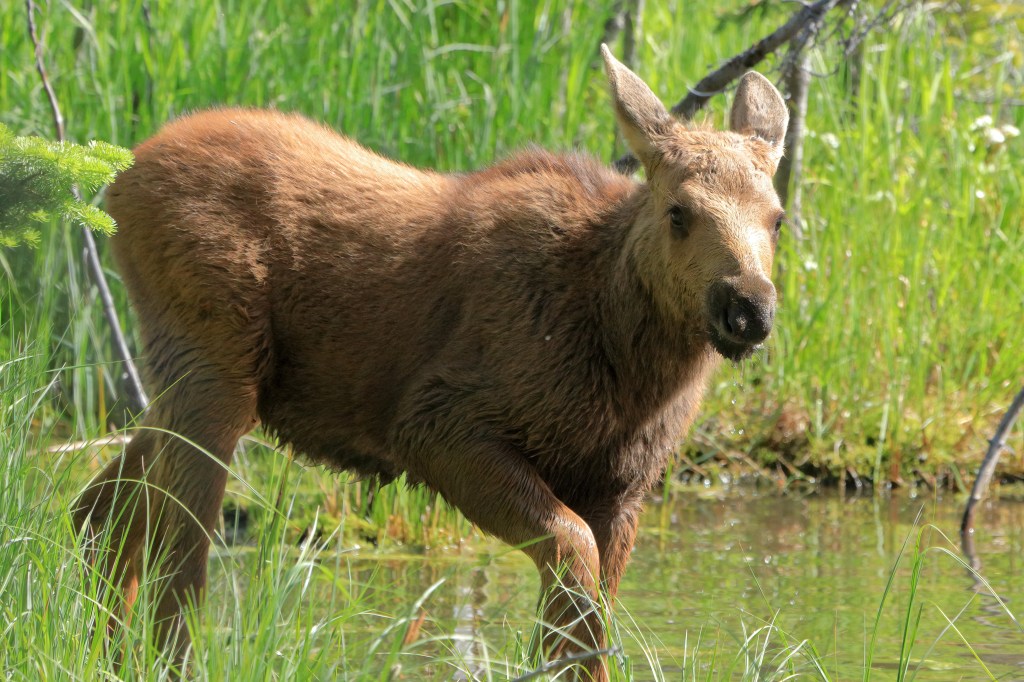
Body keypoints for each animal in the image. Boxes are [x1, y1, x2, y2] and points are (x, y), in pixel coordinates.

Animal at [76, 46, 788, 681]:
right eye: (679, 212)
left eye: (778, 218)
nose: (747, 308)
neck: (632, 367)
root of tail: (124, 173)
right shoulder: (435, 424)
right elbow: (572, 561)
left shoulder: (622, 487)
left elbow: (583, 619)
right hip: (215, 371)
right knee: (176, 553)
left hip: (204, 380)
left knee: (101, 504)